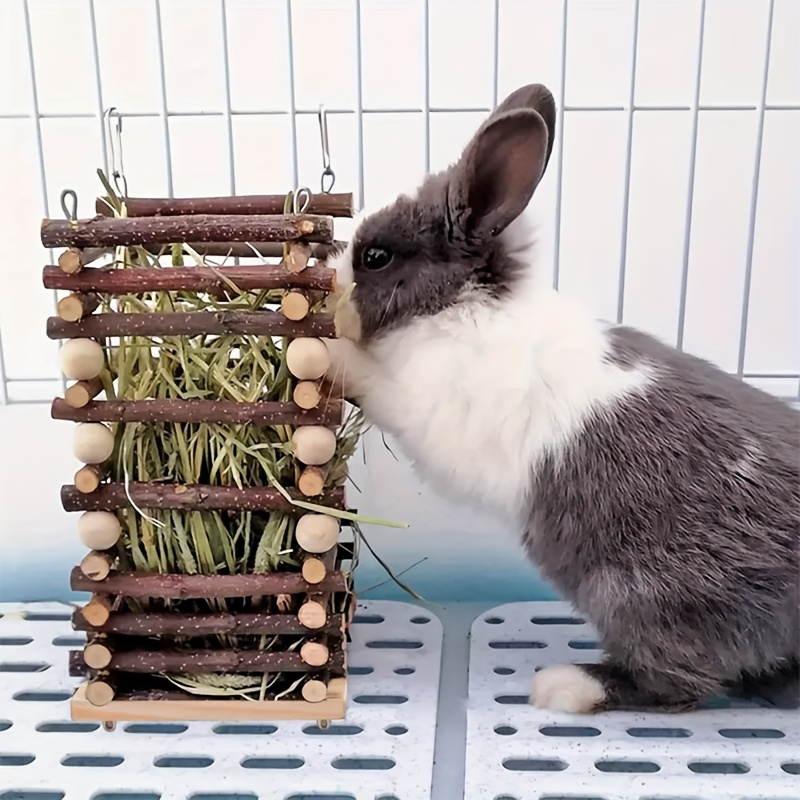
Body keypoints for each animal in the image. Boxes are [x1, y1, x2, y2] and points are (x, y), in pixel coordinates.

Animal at [322, 83, 800, 713]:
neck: (455, 307)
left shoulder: (423, 403)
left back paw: (567, 686)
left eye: (375, 257)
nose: (327, 286)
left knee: (680, 683)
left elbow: (370, 378)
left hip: (646, 595)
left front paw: (320, 348)